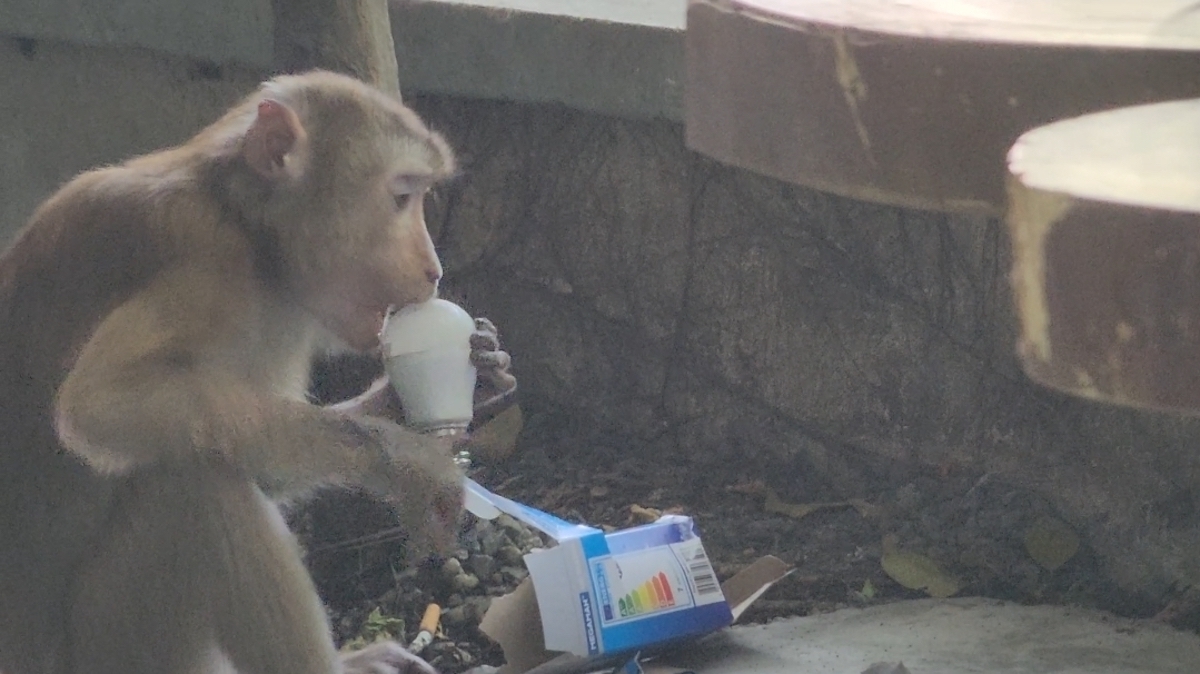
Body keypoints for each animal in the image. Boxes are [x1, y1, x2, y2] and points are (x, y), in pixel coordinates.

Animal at [0, 70, 511, 671]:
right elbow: (99, 405)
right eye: (402, 196)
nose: (434, 269)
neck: (245, 223)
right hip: (114, 650)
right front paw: (407, 459)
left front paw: (445, 389)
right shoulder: (212, 271)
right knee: (195, 488)